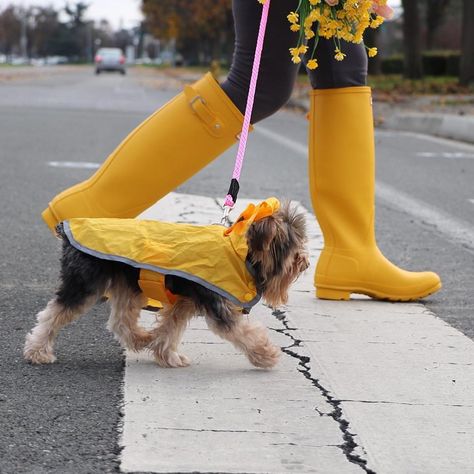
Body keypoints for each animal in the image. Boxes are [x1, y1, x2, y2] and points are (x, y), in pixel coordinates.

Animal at [24, 202, 310, 368]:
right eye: (294, 248)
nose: (305, 263)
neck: (242, 254)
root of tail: (66, 228)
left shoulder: (184, 301)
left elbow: (171, 327)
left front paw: (165, 354)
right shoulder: (217, 304)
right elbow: (242, 332)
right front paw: (266, 354)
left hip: (128, 283)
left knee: (120, 320)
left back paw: (142, 338)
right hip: (87, 281)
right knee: (53, 313)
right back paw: (37, 351)